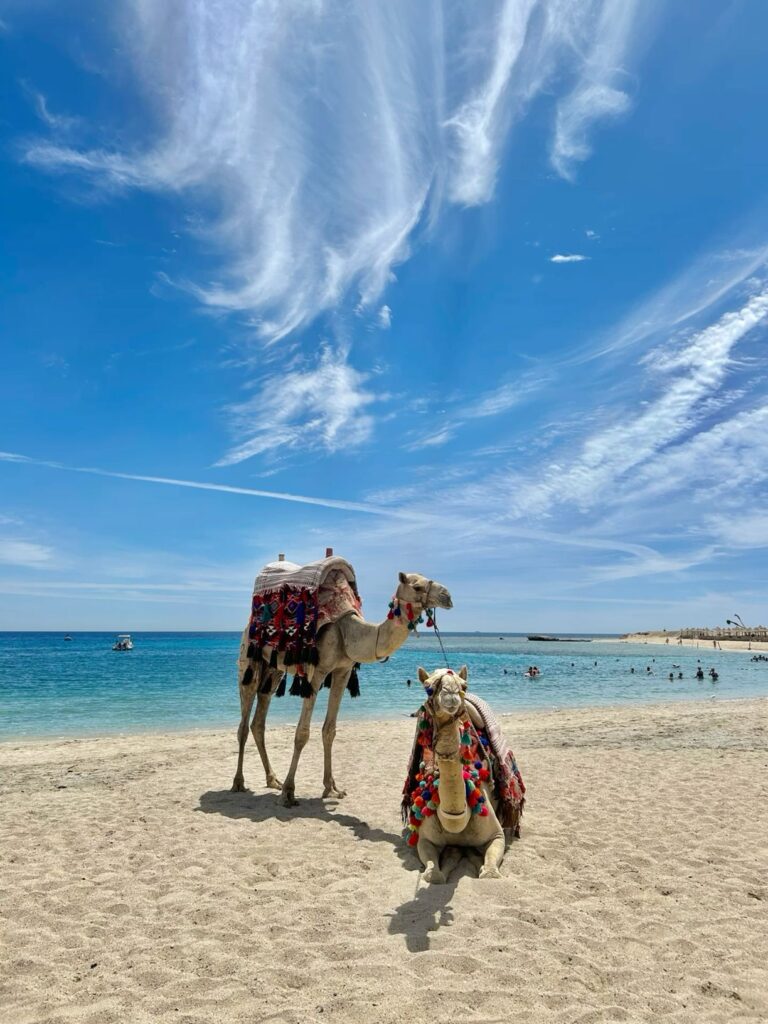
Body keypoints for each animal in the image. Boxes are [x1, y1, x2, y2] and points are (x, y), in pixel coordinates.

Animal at [232, 569, 452, 806]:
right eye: (417, 586)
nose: (447, 596)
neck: (348, 633)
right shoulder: (318, 672)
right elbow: (302, 733)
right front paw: (290, 793)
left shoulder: (343, 672)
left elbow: (330, 730)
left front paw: (331, 788)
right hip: (249, 658)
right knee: (244, 722)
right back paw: (239, 782)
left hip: (273, 669)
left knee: (259, 720)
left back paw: (273, 779)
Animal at [403, 666, 524, 883]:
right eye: (428, 687)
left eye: (464, 686)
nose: (451, 692)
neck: (455, 819)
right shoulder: (425, 839)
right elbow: (433, 875)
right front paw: (445, 865)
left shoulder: (496, 835)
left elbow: (490, 872)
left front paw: (483, 866)